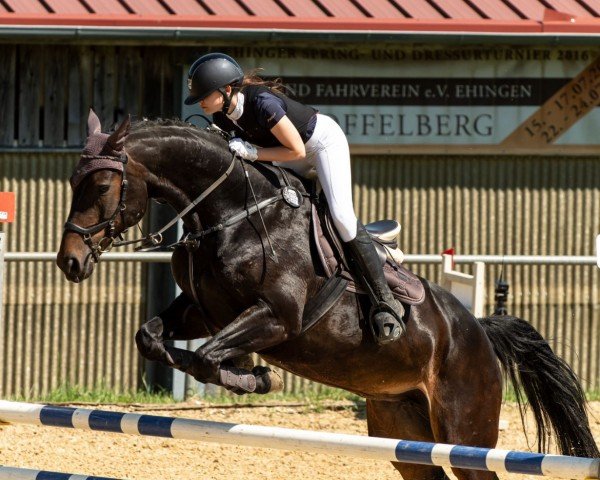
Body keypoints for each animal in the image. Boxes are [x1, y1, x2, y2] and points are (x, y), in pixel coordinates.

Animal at [57, 110, 600, 478]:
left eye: (101, 186)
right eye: (73, 181)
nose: (69, 261)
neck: (230, 213)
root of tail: (479, 332)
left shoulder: (278, 317)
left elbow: (208, 356)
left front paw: (257, 377)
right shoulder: (200, 311)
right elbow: (152, 337)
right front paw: (248, 373)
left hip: (466, 434)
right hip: (403, 430)